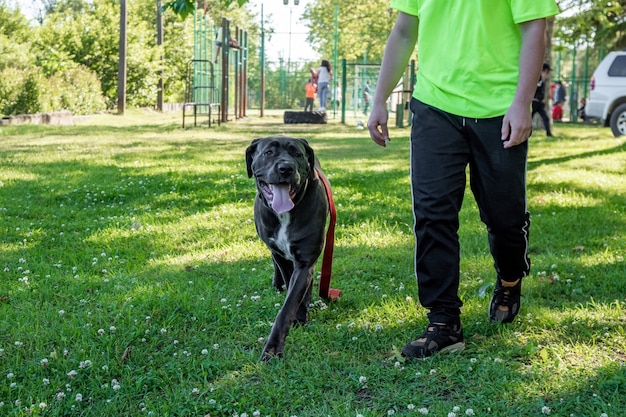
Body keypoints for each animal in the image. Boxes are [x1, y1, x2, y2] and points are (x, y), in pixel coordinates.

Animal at [246, 135, 330, 360]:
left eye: (297, 154)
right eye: (268, 152)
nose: (286, 168)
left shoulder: (305, 260)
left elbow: (289, 305)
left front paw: (273, 349)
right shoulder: (281, 256)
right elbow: (286, 276)